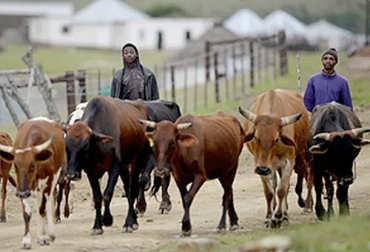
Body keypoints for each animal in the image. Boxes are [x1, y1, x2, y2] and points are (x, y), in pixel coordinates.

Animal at [0, 117, 66, 249]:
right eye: (15, 166)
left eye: (32, 165)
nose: (22, 193)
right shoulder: (22, 187)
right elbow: (27, 213)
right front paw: (26, 240)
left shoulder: (48, 181)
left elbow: (42, 209)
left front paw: (43, 237)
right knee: (39, 201)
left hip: (54, 179)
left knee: (49, 201)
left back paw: (49, 233)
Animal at [238, 89, 310, 228]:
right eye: (256, 137)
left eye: (276, 139)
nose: (263, 170)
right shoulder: (260, 164)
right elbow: (269, 192)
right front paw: (268, 218)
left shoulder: (288, 161)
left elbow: (282, 189)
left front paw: (277, 217)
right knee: (275, 184)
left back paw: (285, 214)